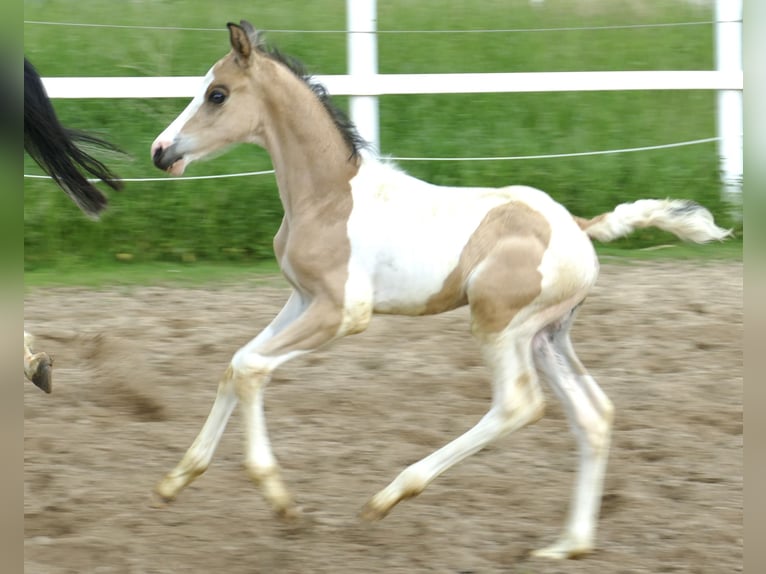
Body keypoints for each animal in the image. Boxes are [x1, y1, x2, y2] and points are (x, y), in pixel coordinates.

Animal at [150, 20, 732, 560]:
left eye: (217, 94)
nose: (161, 151)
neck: (330, 196)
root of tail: (579, 228)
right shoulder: (302, 298)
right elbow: (236, 363)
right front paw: (176, 480)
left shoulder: (344, 311)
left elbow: (251, 368)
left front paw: (281, 501)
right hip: (546, 336)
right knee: (594, 414)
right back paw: (567, 545)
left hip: (498, 325)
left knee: (518, 405)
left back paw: (387, 498)